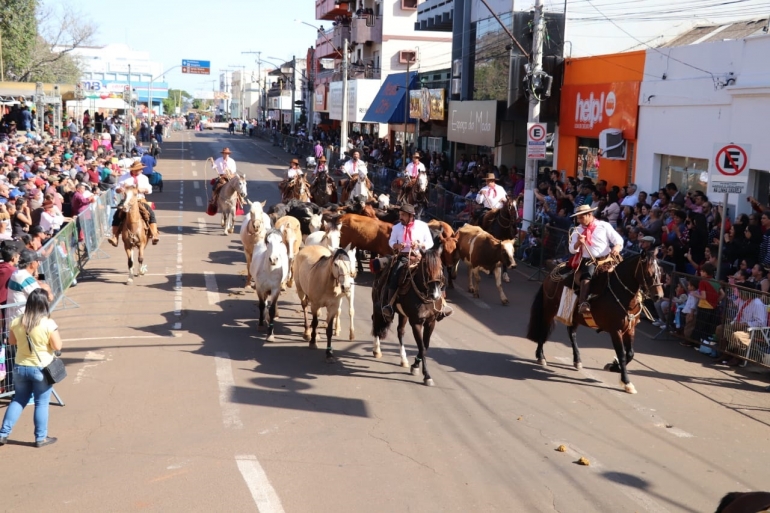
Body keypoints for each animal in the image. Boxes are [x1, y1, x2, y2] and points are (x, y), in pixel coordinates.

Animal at [372, 247, 444, 384]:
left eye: (441, 266)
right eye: (425, 265)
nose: (435, 295)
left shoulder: (431, 322)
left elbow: (425, 346)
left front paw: (415, 365)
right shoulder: (416, 322)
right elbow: (422, 347)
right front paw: (426, 375)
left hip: (403, 315)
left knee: (400, 331)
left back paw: (403, 359)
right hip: (377, 304)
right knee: (376, 322)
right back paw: (377, 350)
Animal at [524, 250, 664, 394]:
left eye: (660, 271)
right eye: (648, 272)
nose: (659, 296)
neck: (620, 293)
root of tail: (553, 272)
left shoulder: (630, 329)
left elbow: (630, 354)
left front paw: (613, 366)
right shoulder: (615, 331)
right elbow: (622, 355)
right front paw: (626, 382)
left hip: (575, 316)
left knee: (571, 333)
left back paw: (577, 360)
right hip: (549, 309)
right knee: (543, 330)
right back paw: (541, 357)